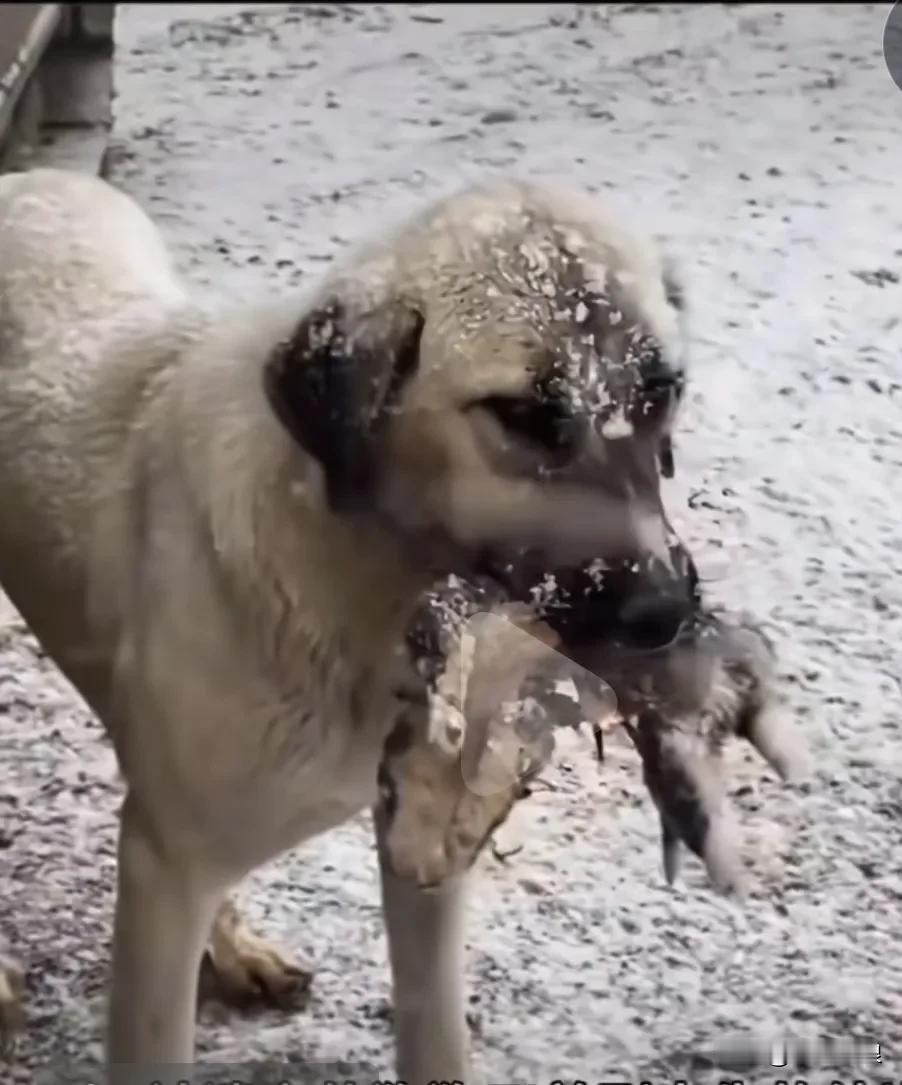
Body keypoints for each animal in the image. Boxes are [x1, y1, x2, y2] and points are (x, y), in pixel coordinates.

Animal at [0, 164, 694, 1080]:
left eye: (663, 391)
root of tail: (32, 177)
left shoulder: (423, 853)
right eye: (520, 413)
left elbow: (435, 1031)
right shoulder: (164, 873)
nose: (670, 612)